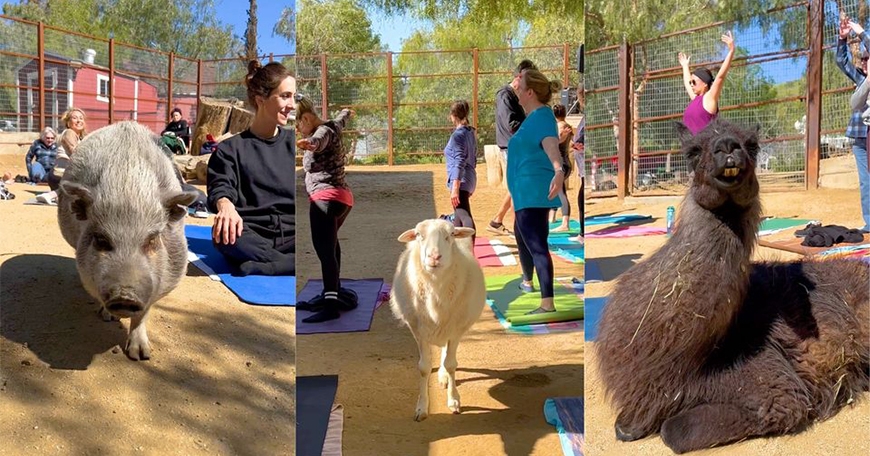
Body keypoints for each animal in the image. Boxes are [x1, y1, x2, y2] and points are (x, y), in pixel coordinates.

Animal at [58, 120, 198, 360]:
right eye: (101, 239)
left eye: (153, 239)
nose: (125, 295)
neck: (129, 187)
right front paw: (107, 318)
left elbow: (143, 313)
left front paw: (140, 356)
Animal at [390, 219, 488, 422]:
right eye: (418, 235)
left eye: (450, 234)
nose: (434, 257)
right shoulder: (418, 330)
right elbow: (423, 368)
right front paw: (421, 407)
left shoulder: (456, 330)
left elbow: (451, 365)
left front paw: (454, 400)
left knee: (446, 354)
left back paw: (443, 376)